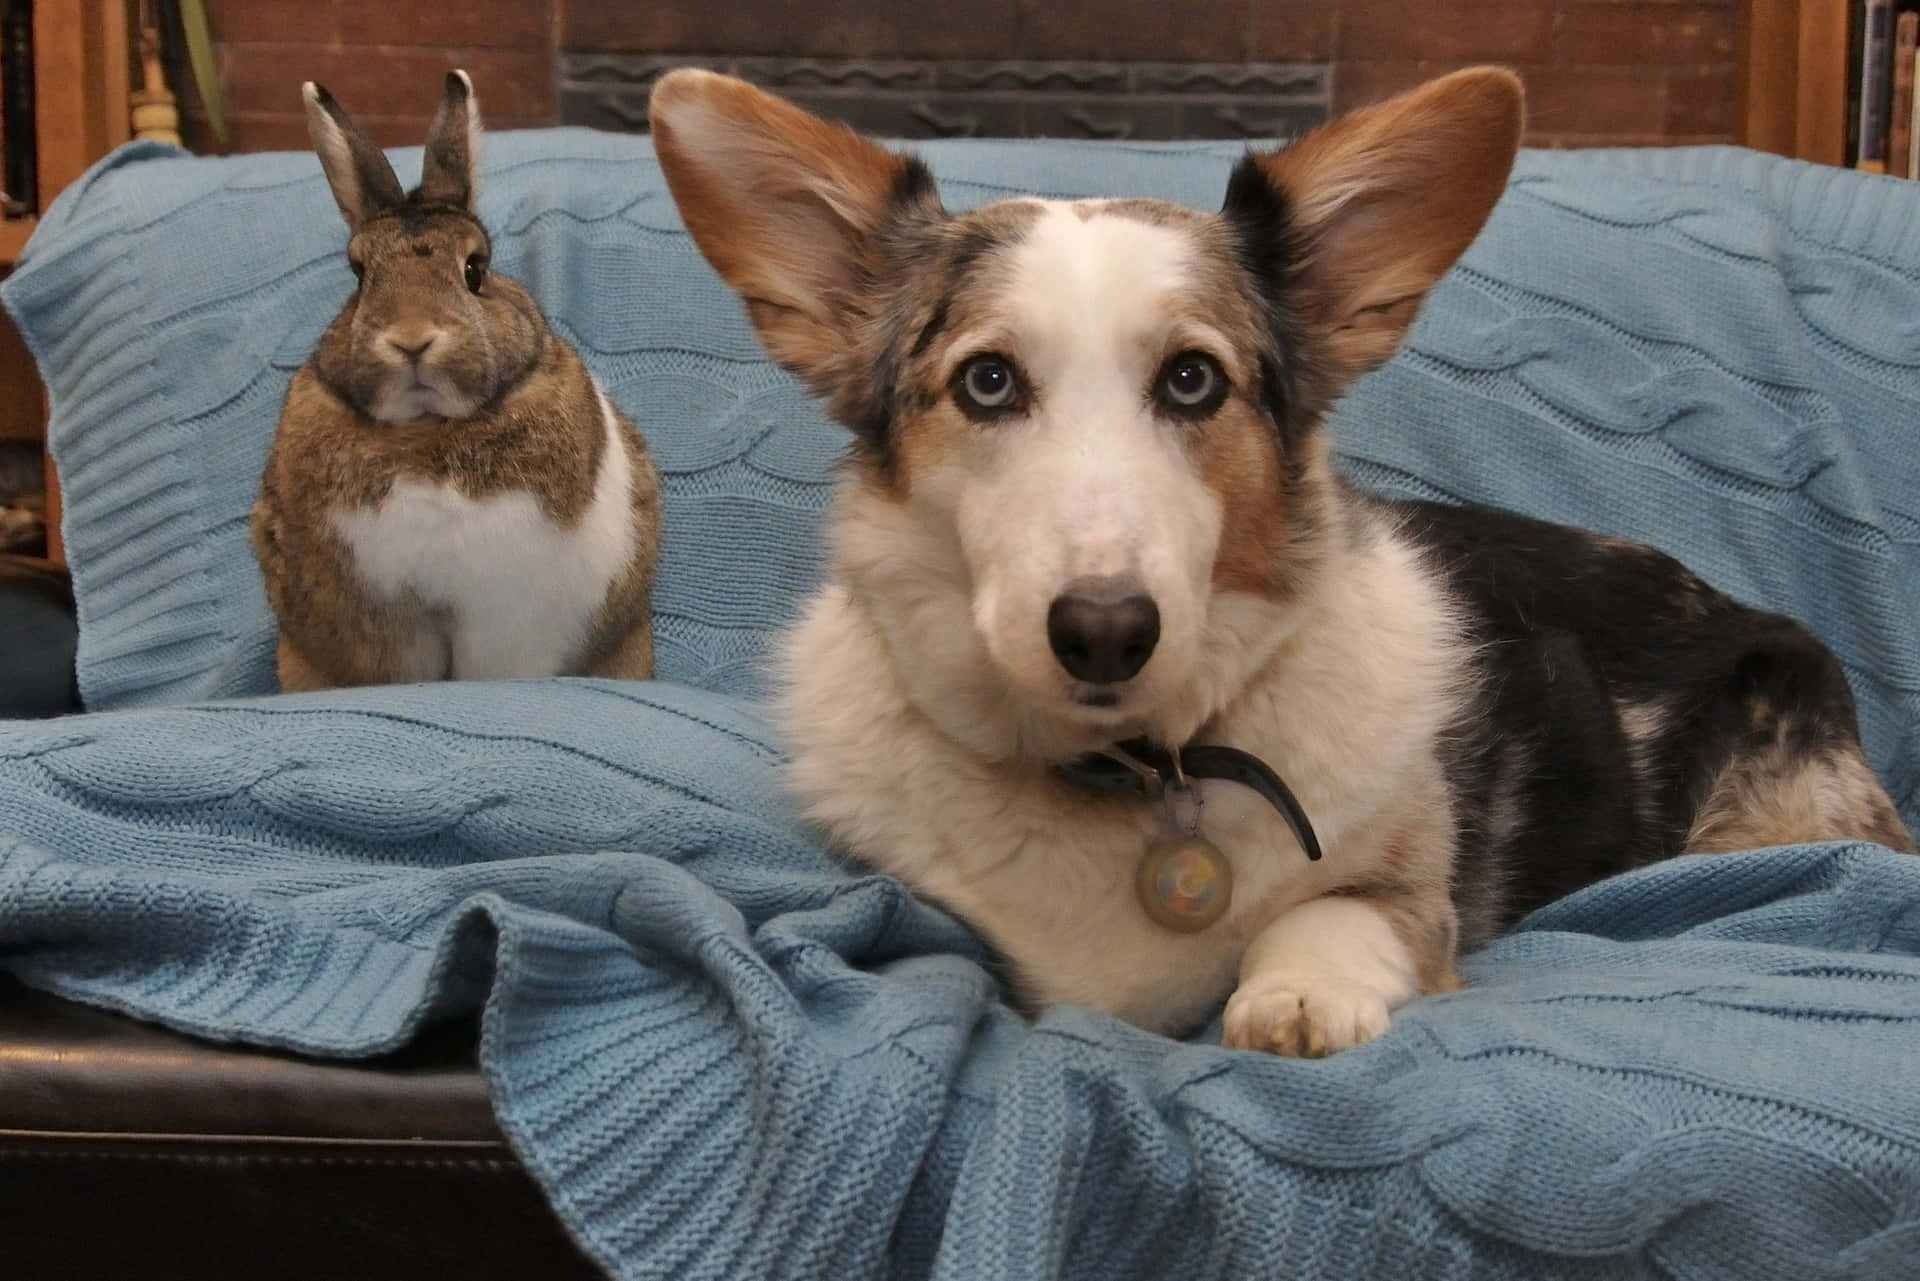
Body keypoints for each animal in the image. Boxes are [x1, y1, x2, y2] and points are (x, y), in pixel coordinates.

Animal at [648, 65, 1920, 1060]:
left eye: (1192, 380)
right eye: (988, 381)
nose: (1105, 631)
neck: (1130, 773)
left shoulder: (1404, 888)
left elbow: (1332, 912)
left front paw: (1297, 998)